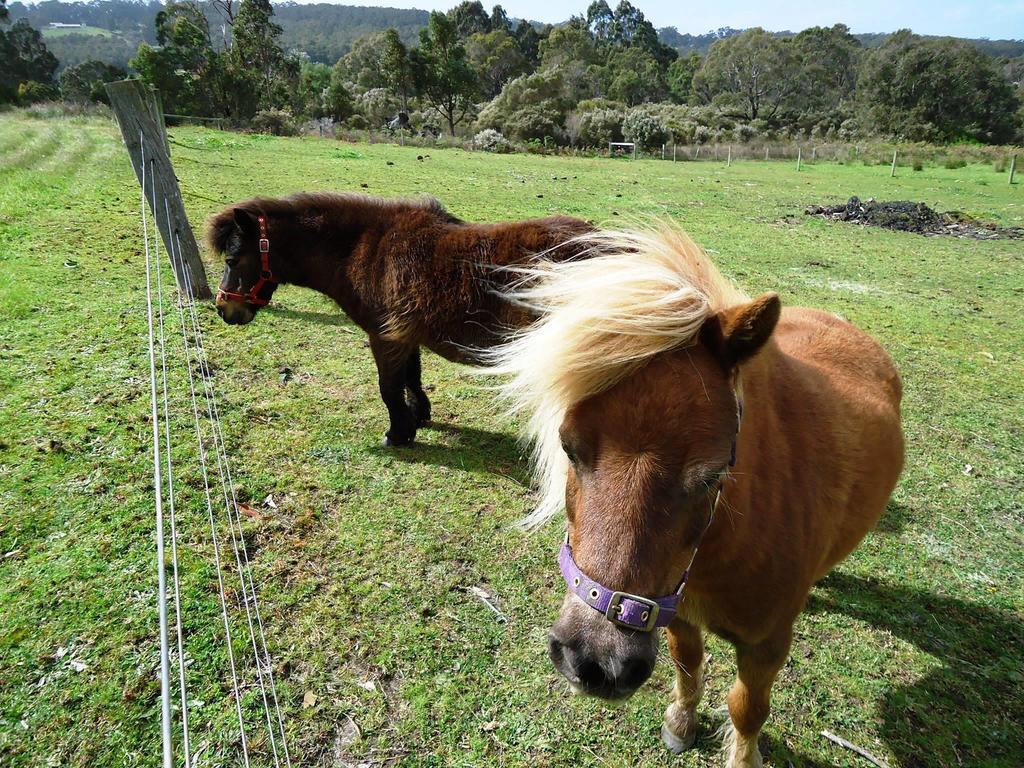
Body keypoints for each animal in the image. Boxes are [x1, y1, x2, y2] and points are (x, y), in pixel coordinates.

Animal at [205, 191, 593, 444]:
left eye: (232, 260)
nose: (225, 310)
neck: (363, 249)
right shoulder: (405, 335)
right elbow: (411, 377)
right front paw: (418, 416)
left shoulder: (384, 336)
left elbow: (388, 386)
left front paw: (398, 433)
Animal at [487, 228, 905, 768]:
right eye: (568, 447)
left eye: (712, 475)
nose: (595, 662)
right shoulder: (674, 611)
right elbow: (687, 664)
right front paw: (681, 722)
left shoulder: (767, 645)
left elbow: (747, 707)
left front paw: (742, 757)